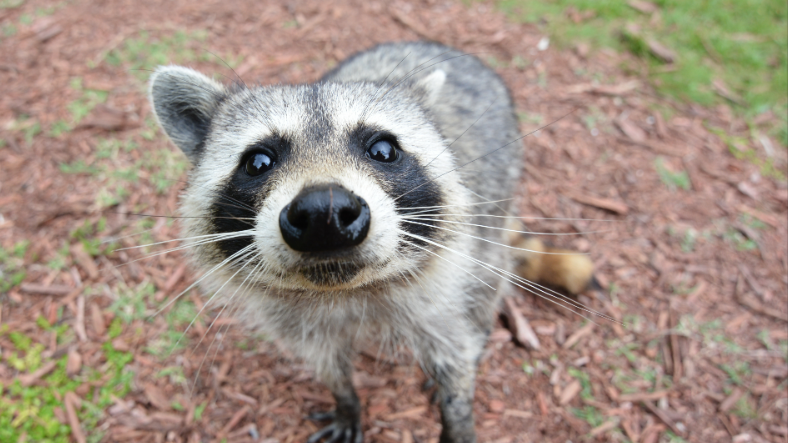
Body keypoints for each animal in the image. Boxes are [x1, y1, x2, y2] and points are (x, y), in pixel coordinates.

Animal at [149, 41, 589, 443]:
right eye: (257, 162)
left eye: (383, 149)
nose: (323, 214)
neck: (346, 290)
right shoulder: (293, 319)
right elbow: (325, 361)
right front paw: (346, 399)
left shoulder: (448, 280)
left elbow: (455, 351)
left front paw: (457, 413)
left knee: (485, 288)